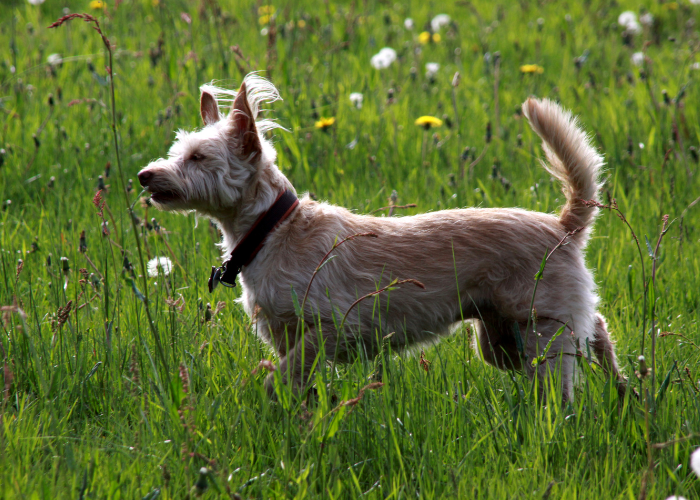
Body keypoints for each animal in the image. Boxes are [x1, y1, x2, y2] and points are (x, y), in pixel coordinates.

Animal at [139, 73, 628, 402]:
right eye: (175, 152)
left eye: (198, 157)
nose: (145, 175)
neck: (271, 230)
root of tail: (564, 226)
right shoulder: (288, 336)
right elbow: (298, 383)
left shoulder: (332, 325)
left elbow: (281, 375)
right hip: (501, 340)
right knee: (595, 329)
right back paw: (623, 388)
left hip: (541, 330)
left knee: (569, 362)